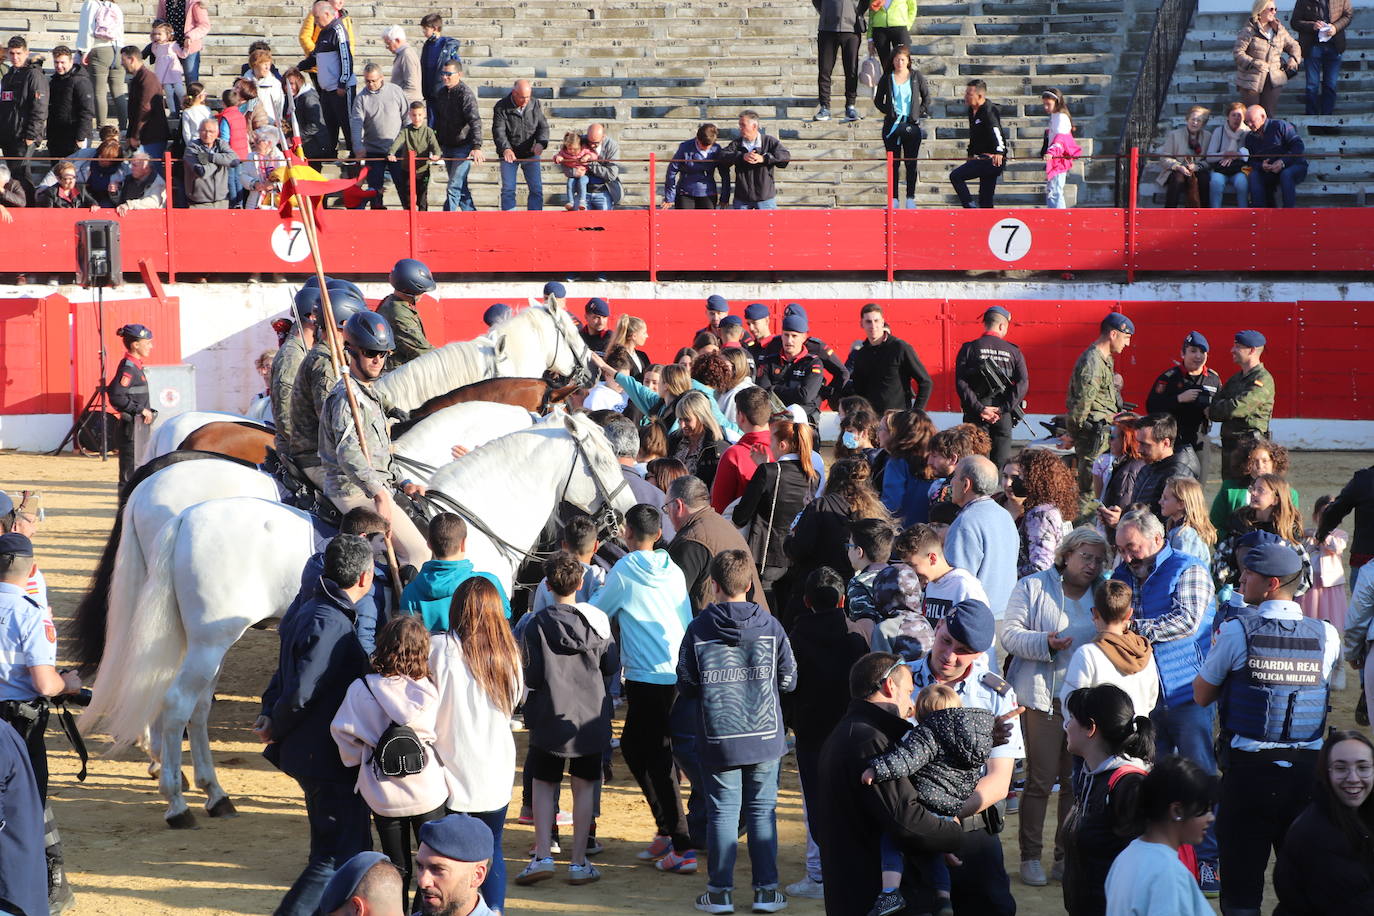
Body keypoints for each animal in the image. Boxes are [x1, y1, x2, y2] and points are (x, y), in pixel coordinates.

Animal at [75, 411, 632, 829]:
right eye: (604, 457)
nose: (626, 516)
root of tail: (184, 516)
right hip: (210, 640)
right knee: (174, 706)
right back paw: (177, 800)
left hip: (204, 641)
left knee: (193, 708)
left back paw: (211, 791)